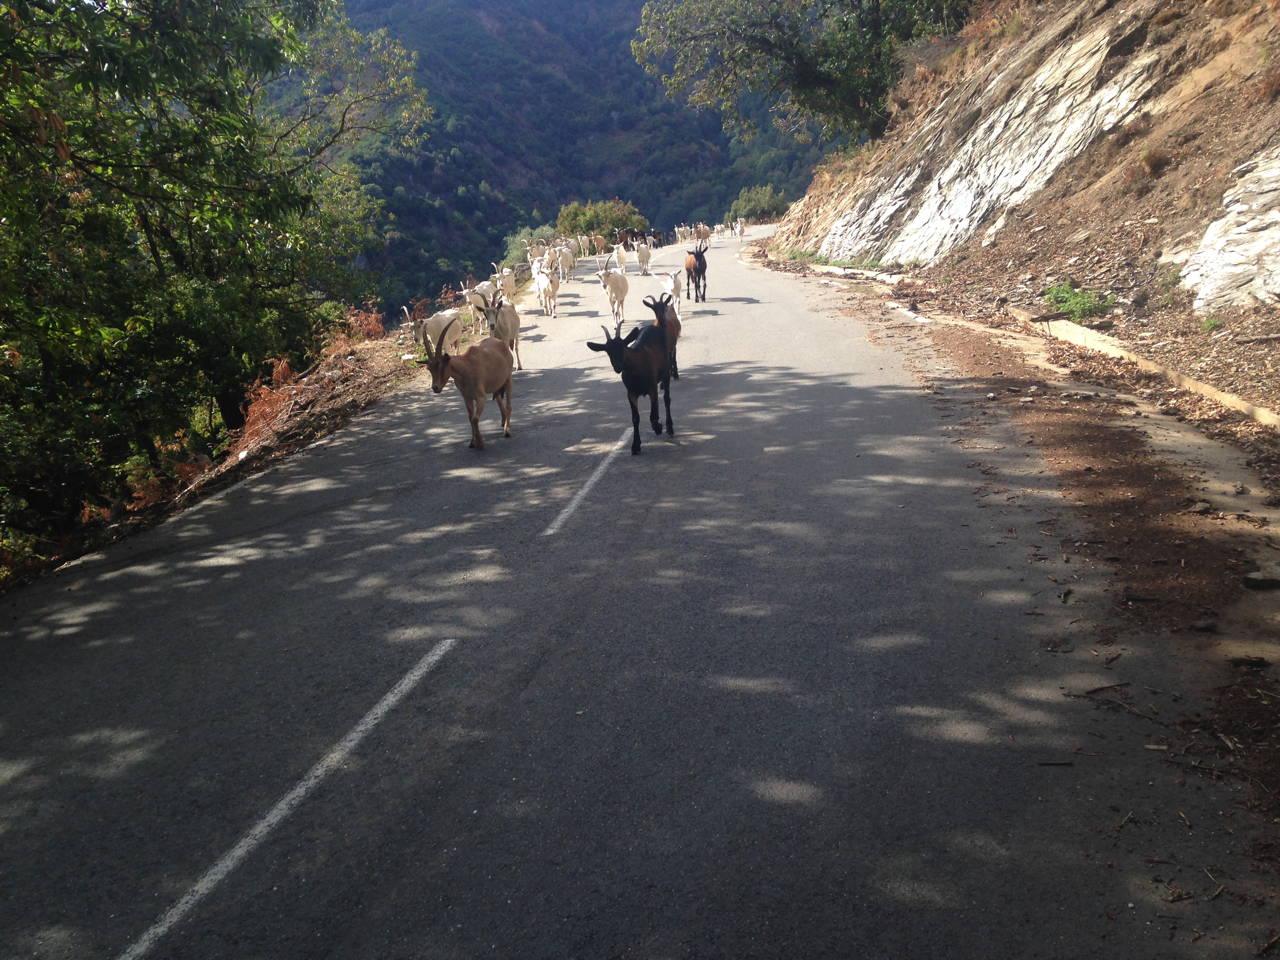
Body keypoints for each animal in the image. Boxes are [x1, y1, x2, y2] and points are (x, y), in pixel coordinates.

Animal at [586, 321, 675, 455]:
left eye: (623, 347)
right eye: (608, 351)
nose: (618, 367)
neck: (635, 369)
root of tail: (655, 326)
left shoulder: (652, 387)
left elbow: (652, 416)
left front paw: (658, 427)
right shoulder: (631, 393)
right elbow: (635, 418)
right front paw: (635, 445)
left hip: (666, 372)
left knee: (666, 399)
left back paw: (669, 427)